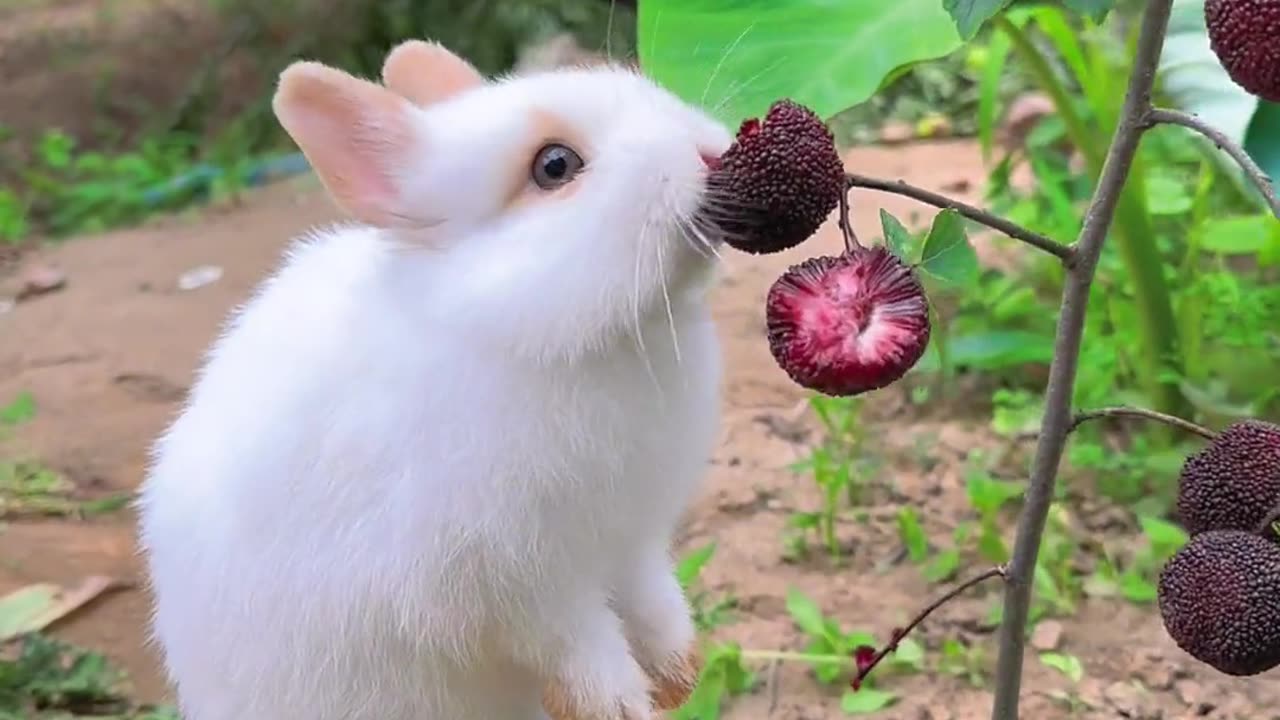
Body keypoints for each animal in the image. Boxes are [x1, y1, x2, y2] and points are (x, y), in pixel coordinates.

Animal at [136, 37, 737, 717]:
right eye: (555, 166)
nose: (712, 155)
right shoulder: (515, 584)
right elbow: (577, 641)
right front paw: (618, 705)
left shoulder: (633, 542)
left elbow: (653, 599)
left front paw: (681, 673)